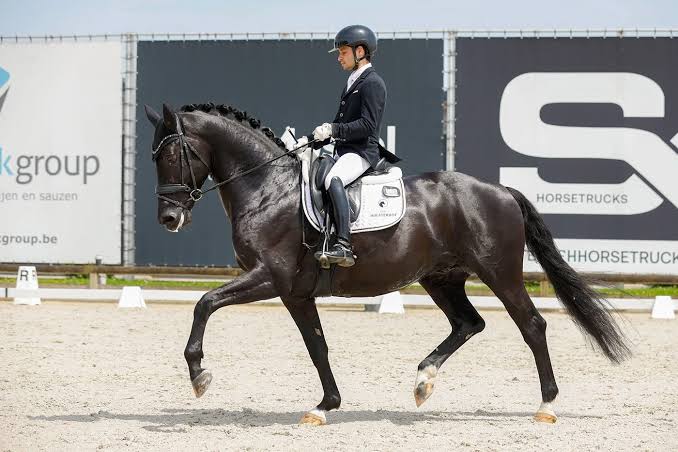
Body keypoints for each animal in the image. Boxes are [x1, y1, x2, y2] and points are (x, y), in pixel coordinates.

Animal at [144, 102, 630, 425]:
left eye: (169, 155)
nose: (168, 219)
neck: (268, 187)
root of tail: (501, 190)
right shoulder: (295, 292)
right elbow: (317, 347)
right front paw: (325, 407)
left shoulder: (269, 278)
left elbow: (204, 303)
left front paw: (199, 375)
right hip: (442, 278)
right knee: (469, 323)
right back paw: (423, 382)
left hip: (499, 272)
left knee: (531, 325)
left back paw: (546, 406)